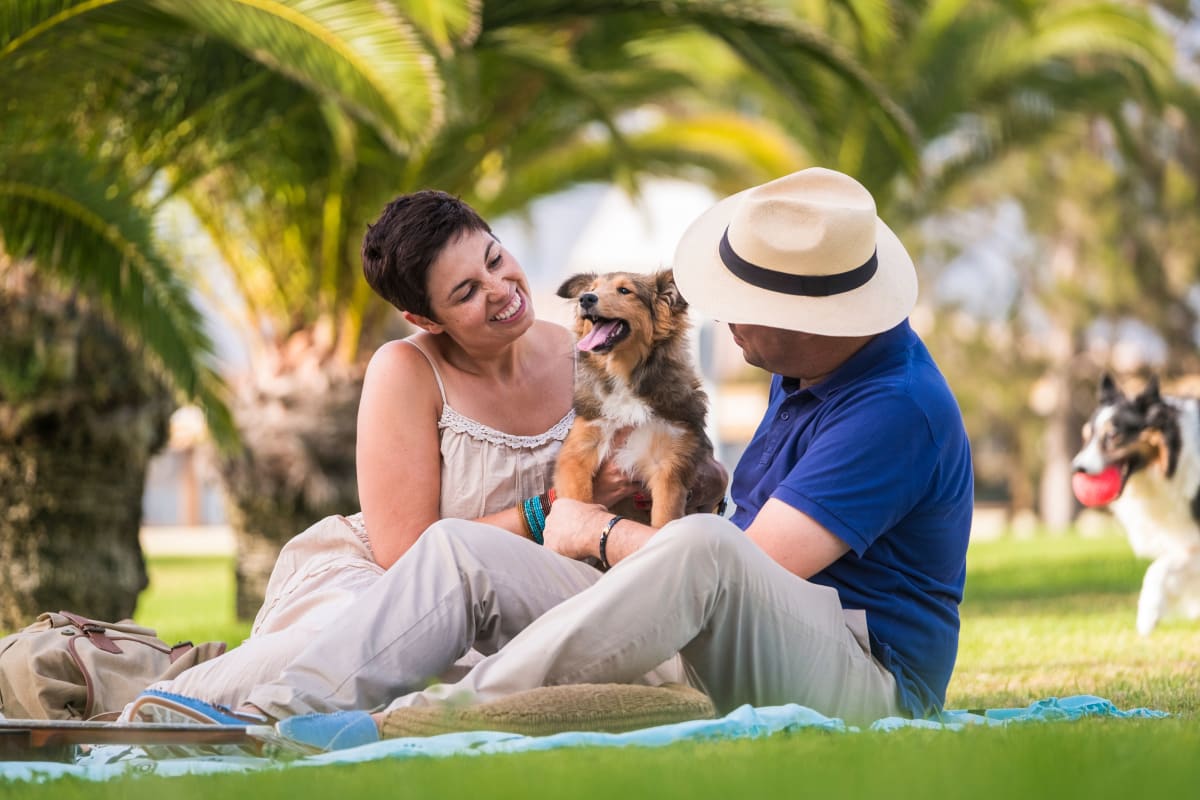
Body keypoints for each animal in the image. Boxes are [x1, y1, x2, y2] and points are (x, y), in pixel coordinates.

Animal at [554, 272, 710, 527]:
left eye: (625, 291)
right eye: (592, 288)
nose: (585, 298)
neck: (624, 378)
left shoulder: (669, 464)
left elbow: (664, 518)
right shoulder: (578, 452)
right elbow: (580, 500)